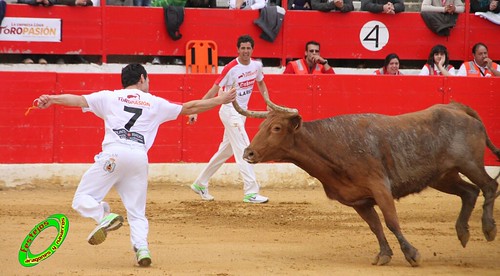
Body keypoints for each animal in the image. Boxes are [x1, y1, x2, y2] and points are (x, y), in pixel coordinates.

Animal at [234, 97, 500, 268]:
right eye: (263, 126)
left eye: (277, 128)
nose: (249, 153)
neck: (334, 145)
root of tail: (456, 107)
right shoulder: (358, 201)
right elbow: (375, 226)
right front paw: (384, 254)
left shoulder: (380, 188)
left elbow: (391, 221)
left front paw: (412, 254)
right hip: (443, 177)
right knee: (469, 192)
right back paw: (463, 233)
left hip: (469, 164)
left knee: (489, 186)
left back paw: (488, 228)